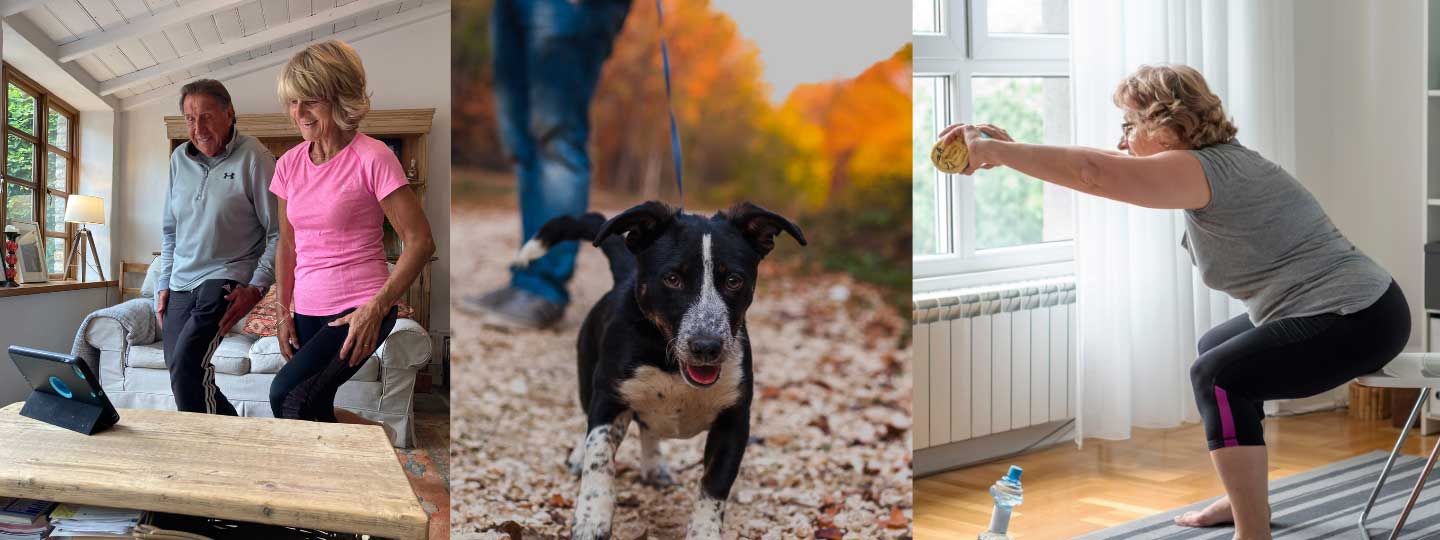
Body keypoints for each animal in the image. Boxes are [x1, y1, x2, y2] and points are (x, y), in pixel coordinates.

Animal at [512, 201, 806, 538]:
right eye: (672, 279)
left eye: (734, 280)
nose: (707, 346)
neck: (671, 363)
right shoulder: (610, 398)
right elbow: (598, 458)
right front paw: (592, 517)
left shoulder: (734, 421)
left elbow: (715, 484)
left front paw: (704, 531)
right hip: (588, 376)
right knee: (592, 418)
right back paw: (579, 457)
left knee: (648, 427)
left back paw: (654, 466)